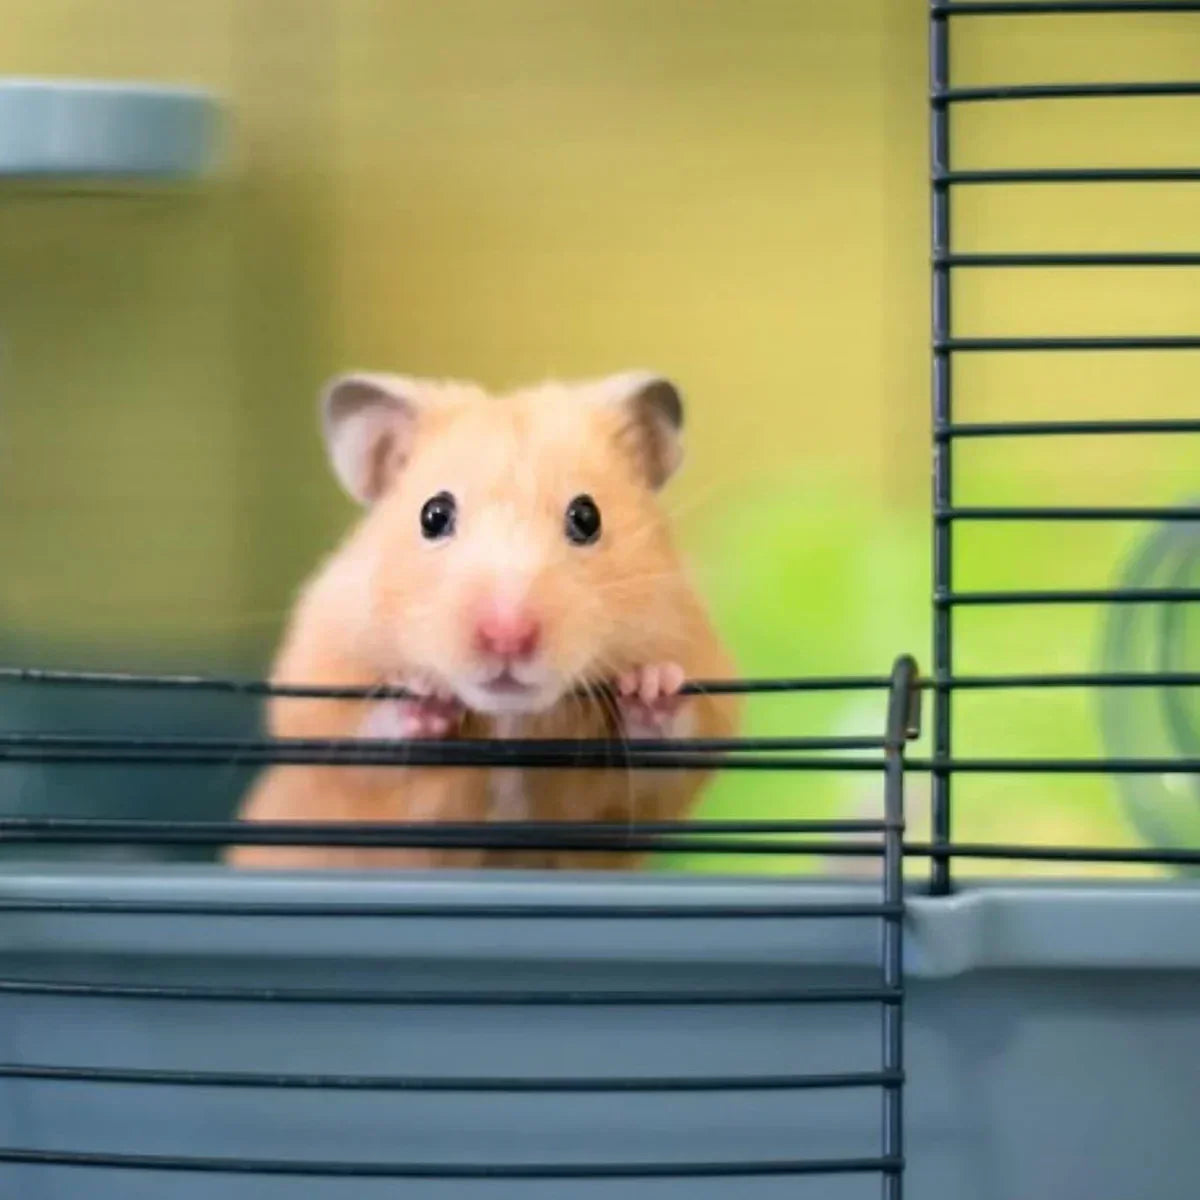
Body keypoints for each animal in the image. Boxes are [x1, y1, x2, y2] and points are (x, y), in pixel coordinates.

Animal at [227, 370, 741, 870]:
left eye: (587, 516)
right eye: (433, 515)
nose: (506, 638)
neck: (508, 717)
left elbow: (674, 743)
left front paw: (651, 685)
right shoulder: (318, 679)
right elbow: (355, 731)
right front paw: (426, 697)